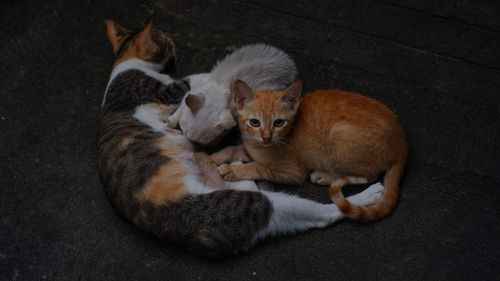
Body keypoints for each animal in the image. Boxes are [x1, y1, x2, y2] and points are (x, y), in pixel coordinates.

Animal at [167, 44, 296, 144]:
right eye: (185, 131)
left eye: (199, 141)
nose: (190, 141)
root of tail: (289, 64)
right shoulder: (193, 91)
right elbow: (181, 107)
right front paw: (170, 121)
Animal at [209, 80, 408, 220]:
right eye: (254, 122)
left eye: (278, 123)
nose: (267, 137)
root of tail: (402, 143)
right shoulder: (252, 147)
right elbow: (234, 148)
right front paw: (214, 157)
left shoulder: (291, 172)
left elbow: (257, 167)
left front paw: (232, 171)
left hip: (339, 134)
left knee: (370, 175)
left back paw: (326, 176)